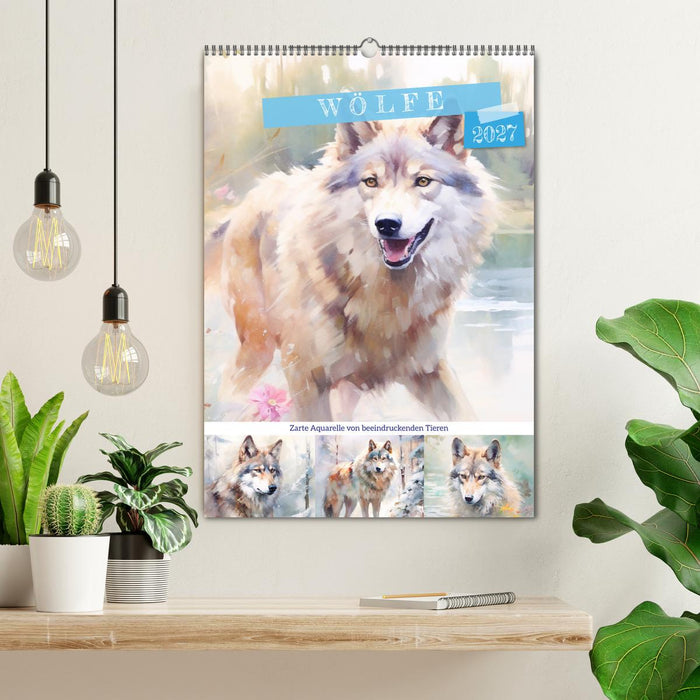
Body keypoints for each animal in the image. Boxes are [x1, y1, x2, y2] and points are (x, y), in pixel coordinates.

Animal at [220, 114, 498, 421]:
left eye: (423, 181)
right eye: (371, 181)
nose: (387, 224)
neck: (385, 299)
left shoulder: (428, 368)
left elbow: (465, 416)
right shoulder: (306, 376)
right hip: (259, 347)